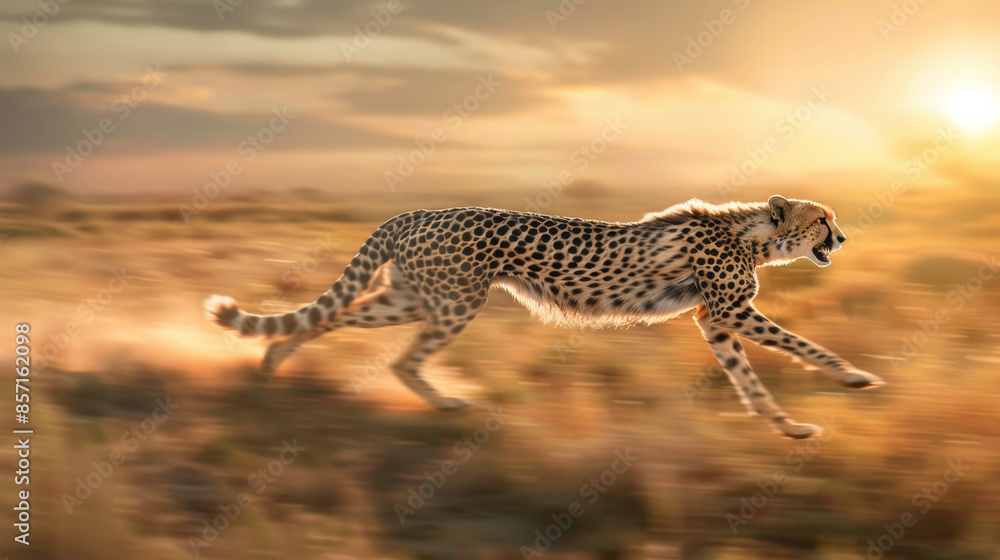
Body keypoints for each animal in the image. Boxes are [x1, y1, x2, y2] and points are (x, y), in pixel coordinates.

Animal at [205, 195, 885, 439]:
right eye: (822, 219)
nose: (844, 237)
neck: (749, 234)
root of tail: (412, 211)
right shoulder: (733, 312)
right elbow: (802, 344)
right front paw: (856, 376)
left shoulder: (716, 322)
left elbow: (748, 380)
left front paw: (786, 426)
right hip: (454, 301)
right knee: (401, 358)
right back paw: (445, 403)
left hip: (411, 297)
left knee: (329, 317)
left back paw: (274, 359)